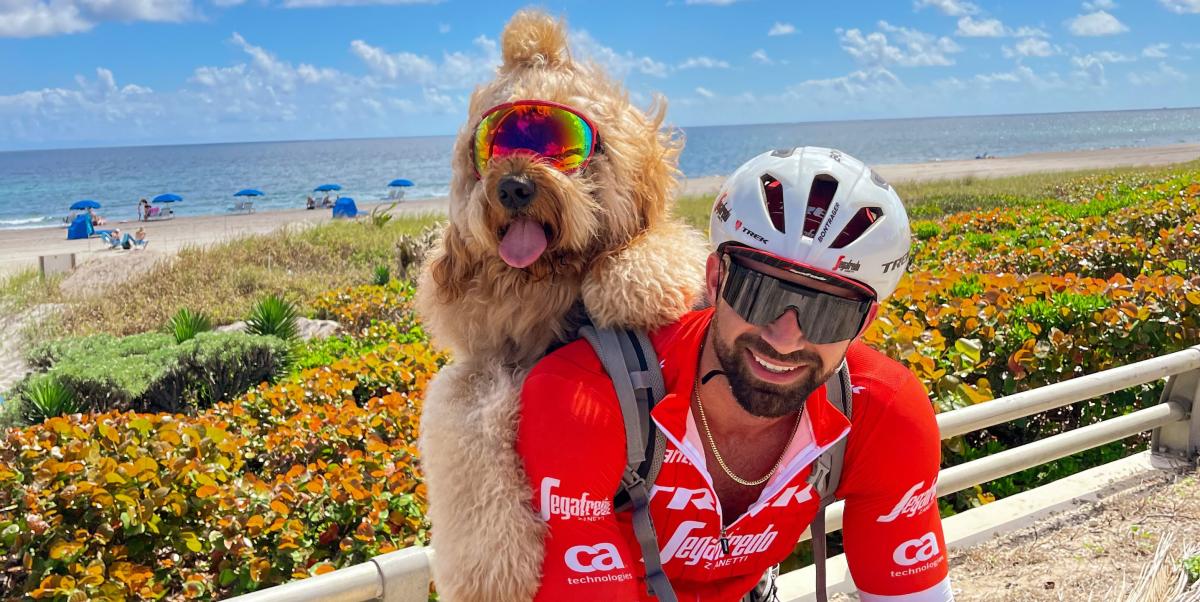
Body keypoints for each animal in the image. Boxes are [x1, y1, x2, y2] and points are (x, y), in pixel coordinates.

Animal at [415, 9, 705, 602]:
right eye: (493, 145)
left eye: (563, 144)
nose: (514, 186)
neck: (548, 291)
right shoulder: (484, 361)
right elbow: (462, 415)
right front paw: (490, 573)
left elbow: (663, 245)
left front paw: (640, 280)